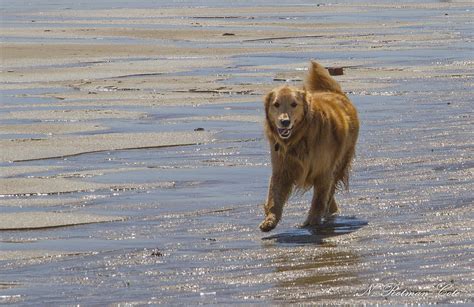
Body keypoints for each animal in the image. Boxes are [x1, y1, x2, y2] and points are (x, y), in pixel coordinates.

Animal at [260, 60, 360, 231]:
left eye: (294, 104)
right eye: (276, 104)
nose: (284, 121)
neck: (300, 137)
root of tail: (335, 92)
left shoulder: (324, 169)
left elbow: (319, 198)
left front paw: (312, 220)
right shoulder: (281, 168)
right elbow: (274, 196)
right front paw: (270, 220)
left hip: (340, 162)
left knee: (330, 190)